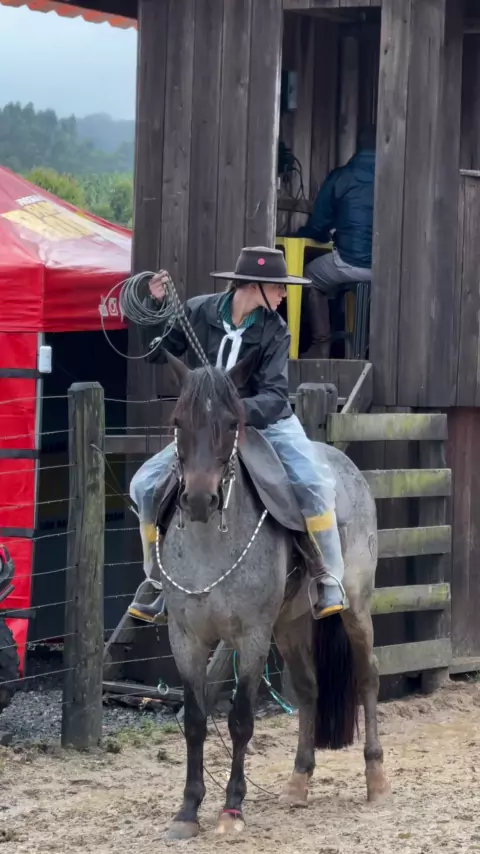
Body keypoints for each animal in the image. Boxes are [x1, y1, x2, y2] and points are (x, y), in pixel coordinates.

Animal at [154, 350, 390, 840]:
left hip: (355, 609)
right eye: (178, 420)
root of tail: (344, 463)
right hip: (292, 623)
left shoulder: (252, 637)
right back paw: (298, 783)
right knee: (308, 688)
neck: (211, 545)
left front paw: (231, 809)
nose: (200, 499)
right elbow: (195, 721)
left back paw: (376, 779)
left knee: (368, 677)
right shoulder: (186, 638)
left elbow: (240, 719)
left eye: (232, 422)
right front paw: (187, 810)